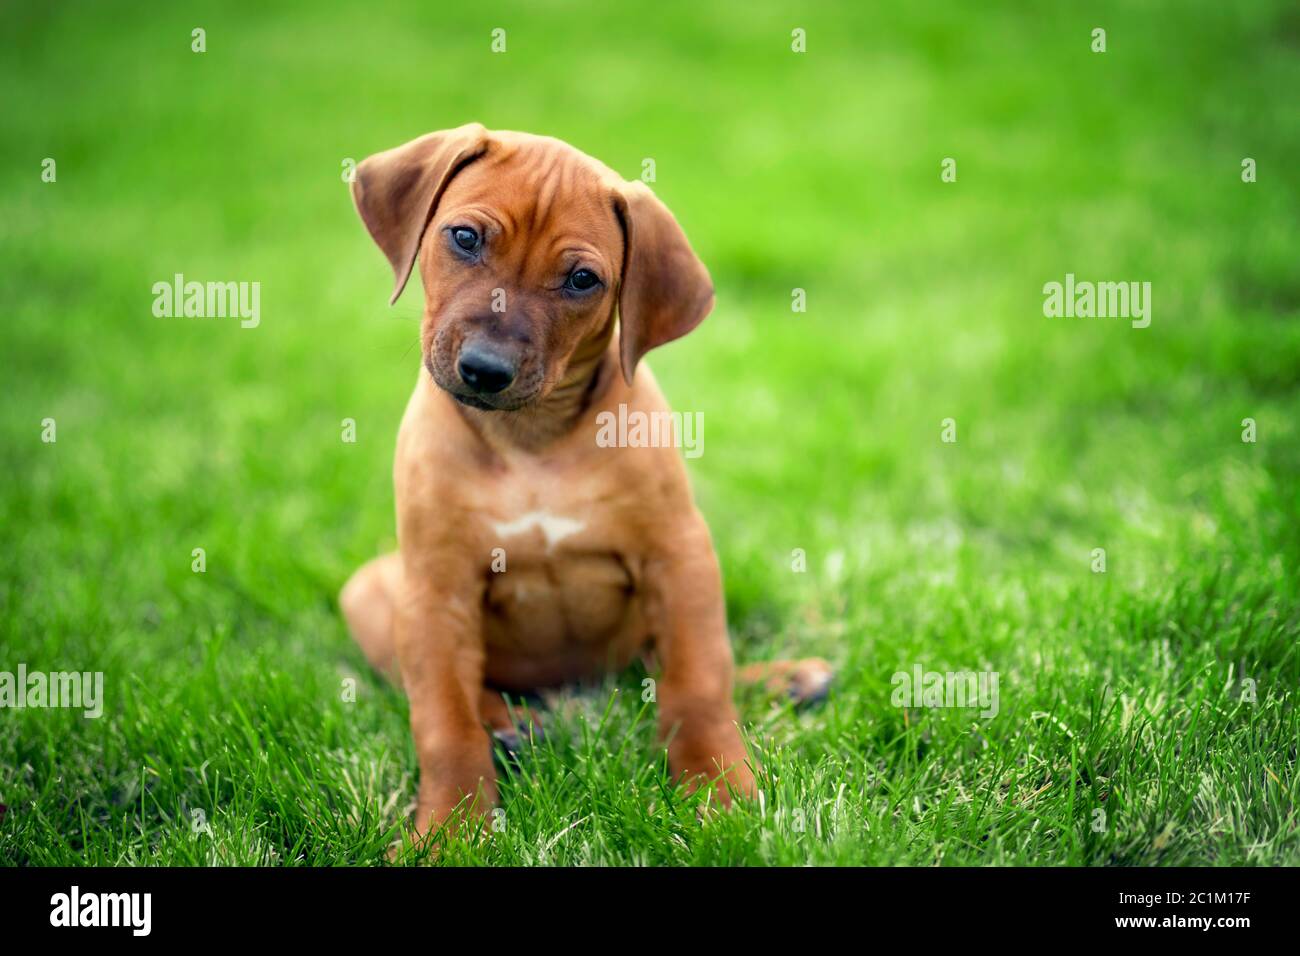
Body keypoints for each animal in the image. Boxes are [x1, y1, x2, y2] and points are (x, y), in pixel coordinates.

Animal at [343, 123, 832, 842]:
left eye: (581, 280)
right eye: (464, 238)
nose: (485, 369)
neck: (531, 440)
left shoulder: (679, 556)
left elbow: (699, 684)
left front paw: (721, 792)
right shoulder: (435, 586)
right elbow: (442, 719)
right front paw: (450, 830)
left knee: (668, 668)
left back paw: (786, 678)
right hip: (372, 590)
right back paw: (512, 723)